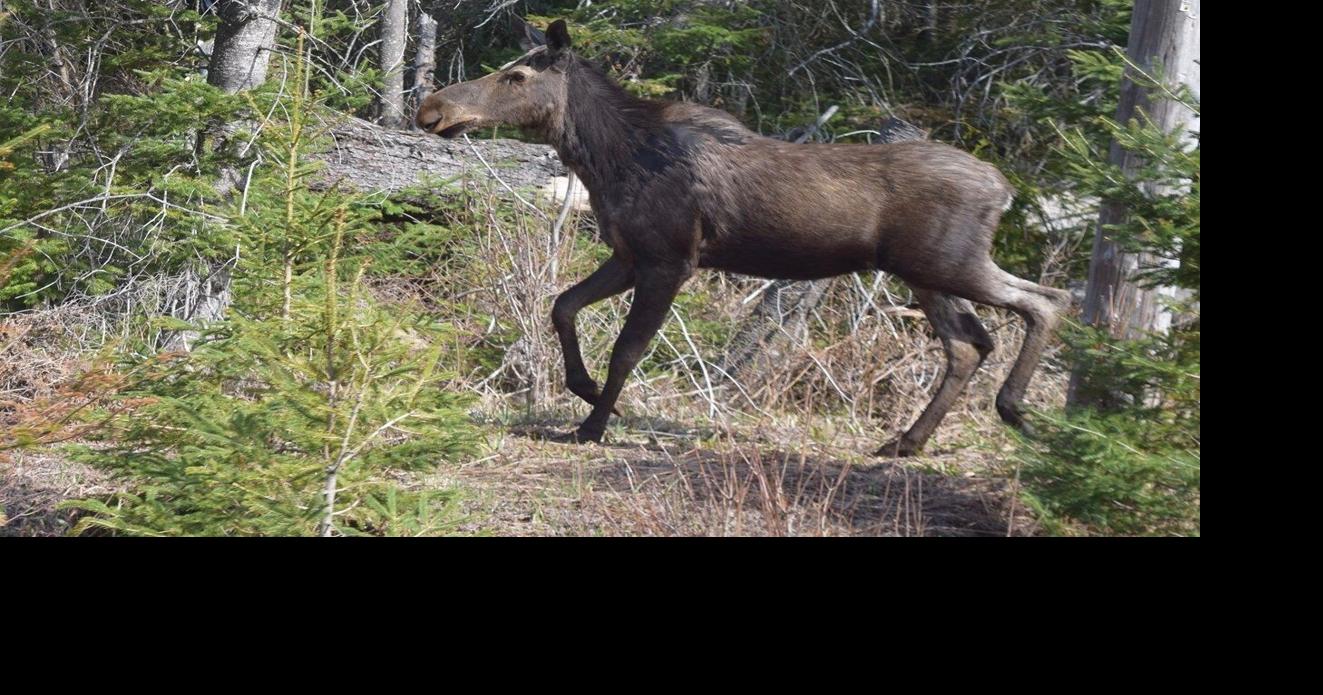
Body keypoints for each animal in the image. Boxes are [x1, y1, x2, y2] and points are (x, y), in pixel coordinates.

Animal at [415, 18, 1072, 457]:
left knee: (1045, 301)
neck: (604, 159)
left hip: (948, 263)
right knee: (968, 344)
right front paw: (585, 390)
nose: (432, 109)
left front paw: (595, 425)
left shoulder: (671, 259)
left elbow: (627, 348)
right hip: (927, 272)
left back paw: (1014, 410)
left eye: (516, 75)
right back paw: (905, 442)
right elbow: (562, 306)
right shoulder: (628, 255)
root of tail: (1003, 188)